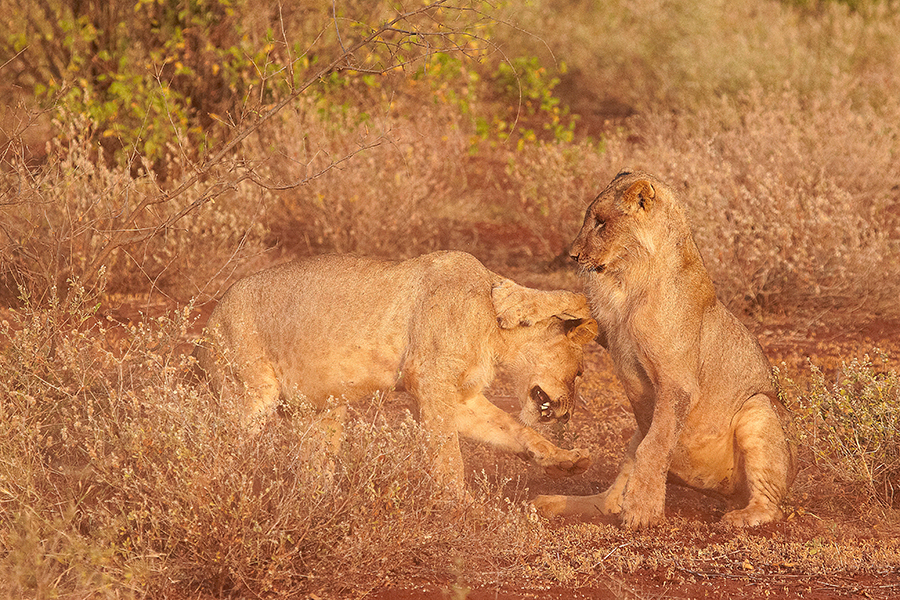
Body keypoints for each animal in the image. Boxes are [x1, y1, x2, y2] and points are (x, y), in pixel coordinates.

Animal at [200, 248, 600, 492]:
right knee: (216, 449)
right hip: (249, 394)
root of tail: (210, 320)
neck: (495, 331)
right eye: (580, 371)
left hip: (323, 412)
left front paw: (566, 461)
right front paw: (462, 511)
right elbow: (449, 456)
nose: (569, 413)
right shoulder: (430, 381)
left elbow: (515, 430)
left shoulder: (461, 399)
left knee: (312, 471)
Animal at [536, 170, 796, 528]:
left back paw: (740, 517)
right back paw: (551, 502)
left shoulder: (678, 383)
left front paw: (643, 511)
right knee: (606, 502)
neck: (628, 277)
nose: (572, 256)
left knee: (771, 505)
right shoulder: (606, 325)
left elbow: (656, 446)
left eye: (601, 223)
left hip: (758, 407)